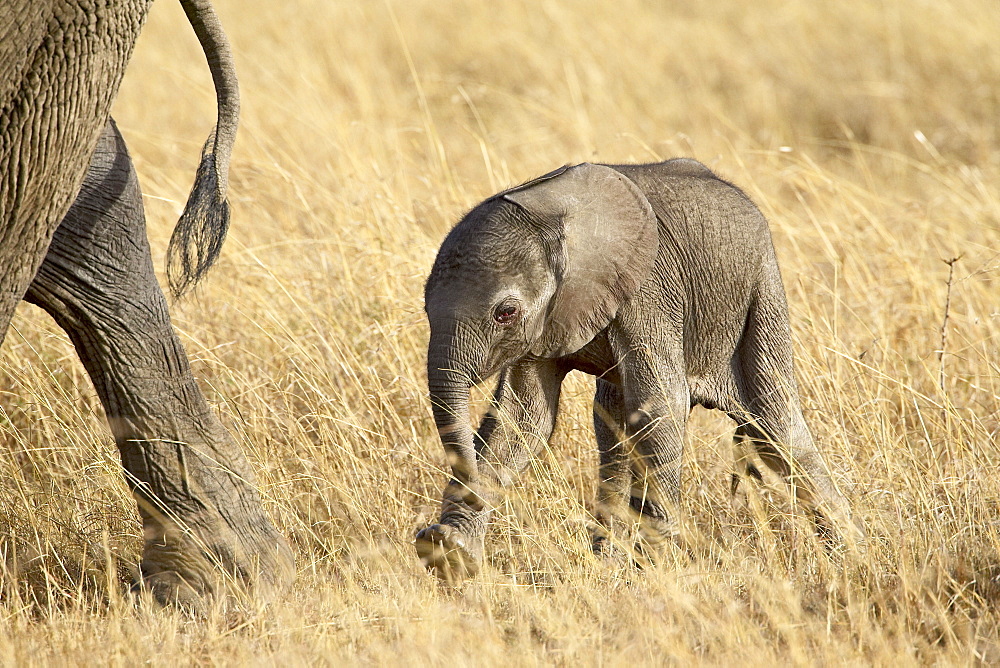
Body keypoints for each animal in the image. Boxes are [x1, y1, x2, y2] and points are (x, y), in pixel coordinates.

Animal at [418, 159, 856, 580]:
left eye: (505, 313)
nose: (471, 494)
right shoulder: (548, 322)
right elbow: (521, 418)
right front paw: (448, 553)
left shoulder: (649, 294)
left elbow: (661, 407)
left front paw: (655, 567)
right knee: (612, 425)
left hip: (760, 291)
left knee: (774, 425)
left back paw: (849, 554)